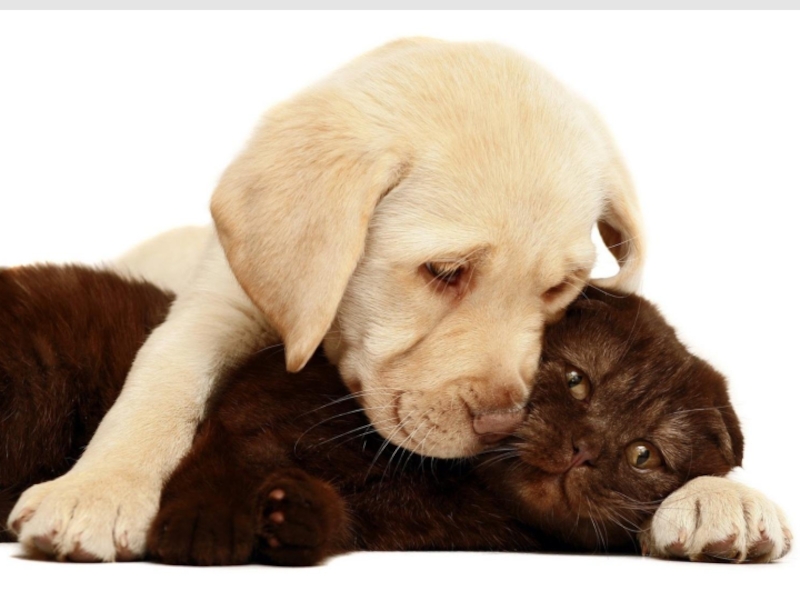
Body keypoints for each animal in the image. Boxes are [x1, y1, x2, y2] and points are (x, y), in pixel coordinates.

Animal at [0, 264, 743, 564]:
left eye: (644, 454)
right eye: (576, 380)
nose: (586, 447)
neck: (443, 488)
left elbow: (333, 514)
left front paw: (290, 517)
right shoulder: (258, 395)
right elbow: (229, 450)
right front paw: (202, 531)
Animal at [9, 38, 645, 561]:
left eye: (558, 289)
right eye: (444, 272)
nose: (503, 423)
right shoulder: (217, 304)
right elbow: (163, 381)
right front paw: (99, 490)